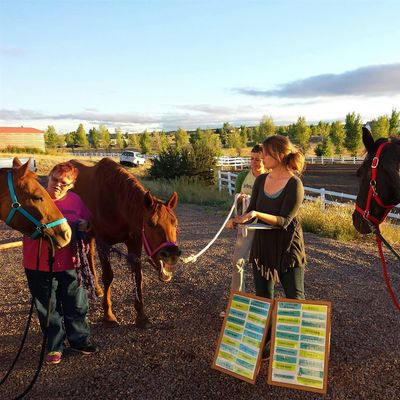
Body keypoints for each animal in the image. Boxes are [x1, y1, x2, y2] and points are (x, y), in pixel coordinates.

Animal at [70, 157, 180, 328]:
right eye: (151, 223)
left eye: (175, 223)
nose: (172, 254)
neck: (115, 202)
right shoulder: (103, 243)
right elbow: (108, 276)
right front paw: (108, 315)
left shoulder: (134, 243)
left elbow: (138, 277)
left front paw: (141, 316)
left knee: (89, 255)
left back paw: (97, 288)